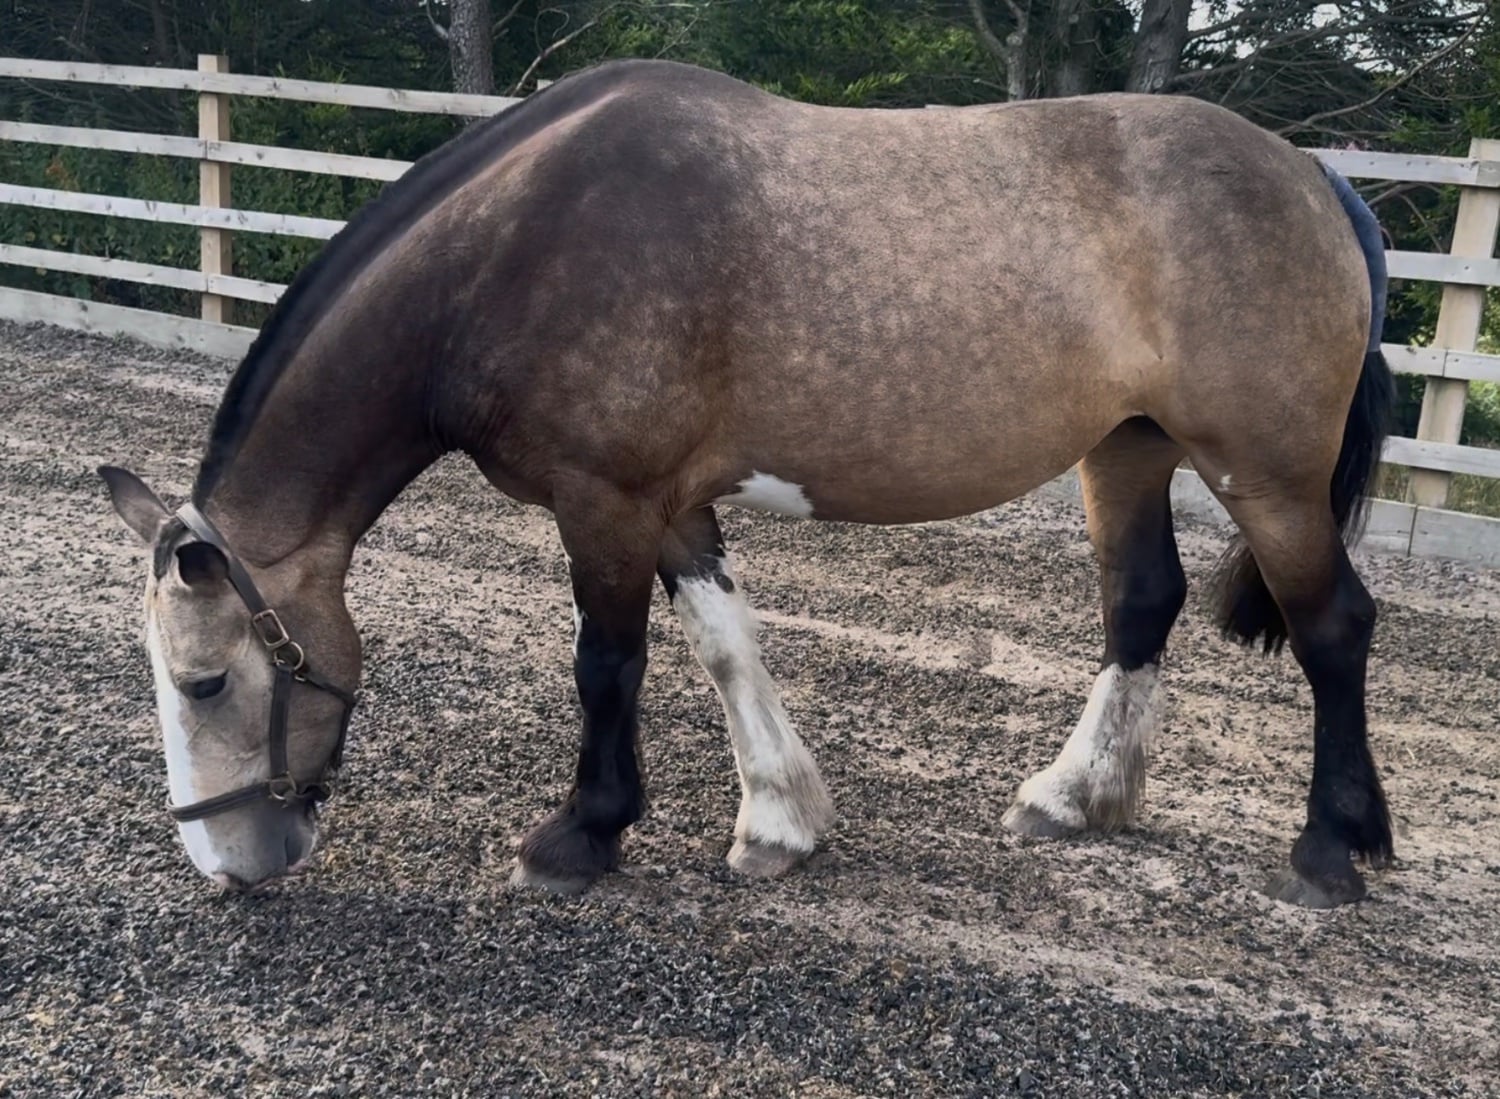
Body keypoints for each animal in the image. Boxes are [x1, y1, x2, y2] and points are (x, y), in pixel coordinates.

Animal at [100, 58, 1395, 908]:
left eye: (206, 682)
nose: (227, 865)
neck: (514, 249)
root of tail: (1313, 176)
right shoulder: (669, 503)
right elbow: (727, 643)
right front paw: (780, 819)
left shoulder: (606, 498)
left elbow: (608, 662)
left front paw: (581, 834)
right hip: (1127, 447)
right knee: (1141, 604)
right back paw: (1074, 798)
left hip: (1266, 474)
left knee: (1335, 625)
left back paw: (1333, 848)